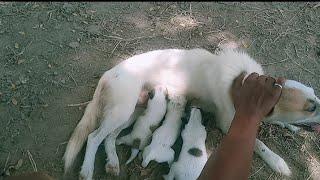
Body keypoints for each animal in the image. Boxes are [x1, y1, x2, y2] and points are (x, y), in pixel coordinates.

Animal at [63, 43, 320, 179]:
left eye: (315, 94)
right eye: (311, 107)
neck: (242, 82)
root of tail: (109, 73)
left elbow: (276, 122)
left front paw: (290, 126)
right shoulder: (230, 125)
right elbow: (258, 143)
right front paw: (277, 161)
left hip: (133, 113)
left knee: (110, 137)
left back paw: (113, 162)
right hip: (122, 111)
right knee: (93, 137)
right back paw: (87, 170)